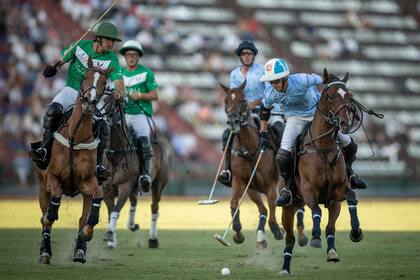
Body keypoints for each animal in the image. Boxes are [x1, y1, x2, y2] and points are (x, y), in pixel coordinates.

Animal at [35, 57, 111, 264]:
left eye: (104, 83)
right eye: (85, 76)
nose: (89, 102)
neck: (75, 137)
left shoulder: (88, 182)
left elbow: (96, 199)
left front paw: (87, 232)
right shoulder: (52, 177)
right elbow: (54, 201)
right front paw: (49, 216)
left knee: (82, 218)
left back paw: (80, 251)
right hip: (41, 185)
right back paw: (45, 251)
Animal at [101, 99, 172, 248]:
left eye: (114, 103)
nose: (106, 119)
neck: (115, 155)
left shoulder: (125, 186)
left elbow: (115, 210)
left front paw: (109, 234)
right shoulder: (107, 189)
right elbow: (112, 211)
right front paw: (112, 240)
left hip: (158, 184)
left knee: (154, 207)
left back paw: (153, 240)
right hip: (136, 186)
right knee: (134, 200)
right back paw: (132, 225)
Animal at [220, 80, 286, 248]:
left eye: (243, 100)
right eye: (225, 101)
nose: (233, 122)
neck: (250, 148)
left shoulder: (271, 183)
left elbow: (272, 204)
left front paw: (276, 230)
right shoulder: (242, 181)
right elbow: (234, 203)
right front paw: (237, 234)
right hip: (253, 190)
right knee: (263, 210)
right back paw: (261, 238)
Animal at [278, 69, 358, 276]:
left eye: (350, 96)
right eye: (330, 97)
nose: (345, 124)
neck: (323, 147)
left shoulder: (337, 193)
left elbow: (350, 199)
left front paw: (355, 232)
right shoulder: (308, 191)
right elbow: (316, 210)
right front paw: (314, 237)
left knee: (330, 228)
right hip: (288, 206)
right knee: (289, 239)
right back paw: (285, 268)